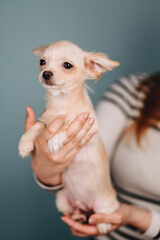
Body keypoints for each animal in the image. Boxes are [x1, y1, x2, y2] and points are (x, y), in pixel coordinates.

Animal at [18, 40, 119, 233]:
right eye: (42, 62)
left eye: (67, 65)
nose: (46, 73)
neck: (62, 102)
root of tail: (85, 204)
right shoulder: (45, 122)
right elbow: (37, 127)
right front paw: (25, 142)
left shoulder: (90, 130)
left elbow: (66, 125)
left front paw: (55, 139)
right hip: (62, 200)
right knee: (75, 211)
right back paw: (78, 216)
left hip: (106, 204)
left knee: (102, 213)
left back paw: (102, 223)